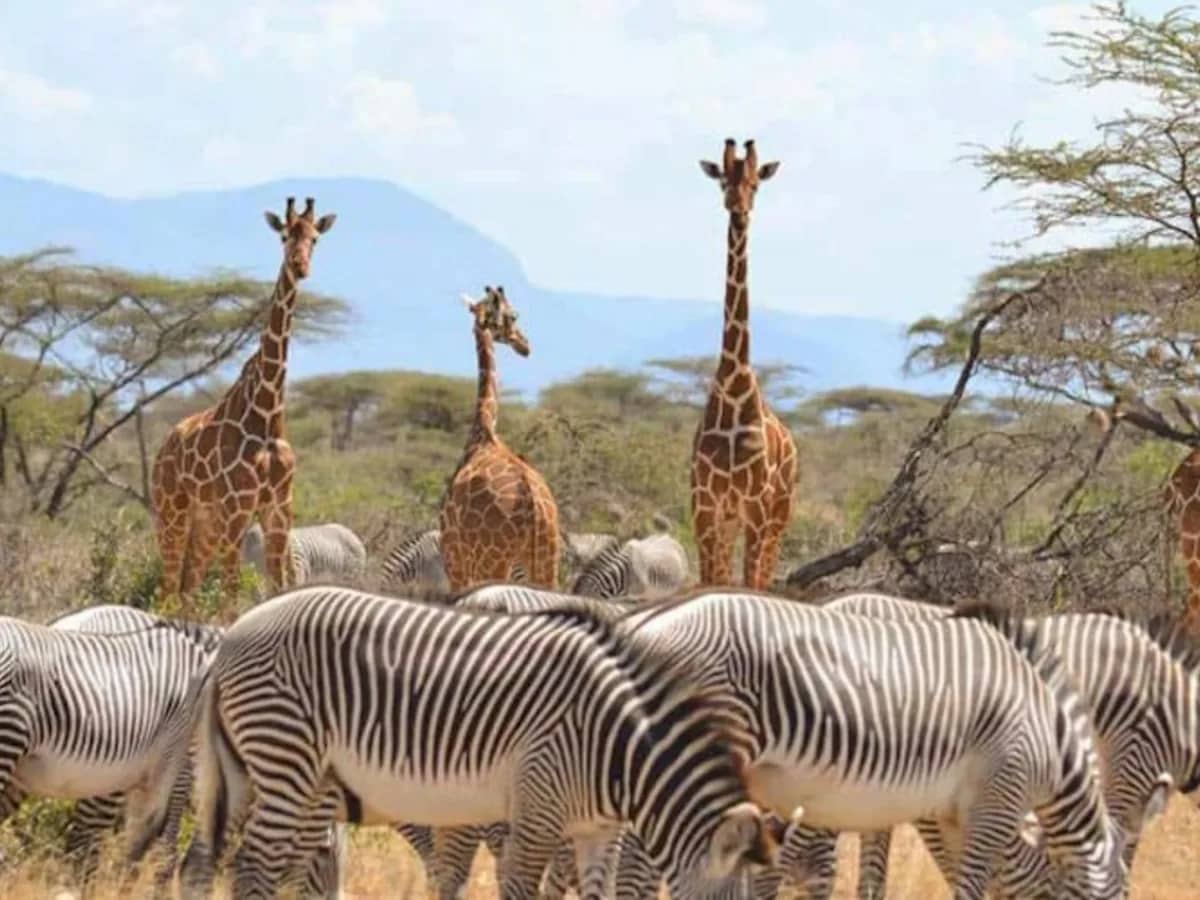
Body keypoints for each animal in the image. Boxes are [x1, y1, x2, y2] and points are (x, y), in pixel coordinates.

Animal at [150, 196, 336, 610]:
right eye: (285, 235)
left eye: (315, 238)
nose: (300, 266)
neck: (266, 412)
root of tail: (163, 447)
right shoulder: (238, 506)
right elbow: (232, 592)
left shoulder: (278, 507)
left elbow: (278, 585)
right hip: (173, 511)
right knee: (169, 588)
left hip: (206, 524)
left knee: (188, 585)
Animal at [178, 585, 777, 900]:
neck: (618, 744)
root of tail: (231, 636)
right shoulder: (538, 808)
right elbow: (519, 889)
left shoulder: (596, 830)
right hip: (285, 760)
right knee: (253, 867)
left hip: (265, 773)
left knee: (213, 861)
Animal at [440, 286, 561, 589]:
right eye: (514, 316)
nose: (525, 345)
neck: (484, 431)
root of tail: (535, 508)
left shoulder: (453, 557)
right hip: (547, 560)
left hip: (492, 560)